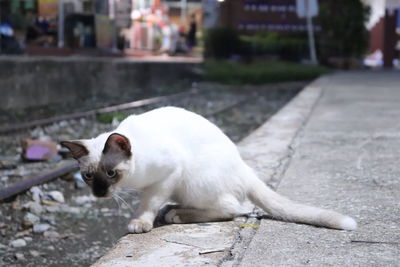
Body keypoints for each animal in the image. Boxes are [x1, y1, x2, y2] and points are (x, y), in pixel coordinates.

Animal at [61, 108, 356, 233]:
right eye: (88, 177)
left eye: (111, 174)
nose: (100, 193)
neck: (135, 180)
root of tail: (244, 166)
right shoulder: (160, 183)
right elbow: (150, 202)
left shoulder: (168, 176)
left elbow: (148, 204)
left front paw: (140, 223)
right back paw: (172, 210)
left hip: (192, 181)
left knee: (233, 209)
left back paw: (175, 215)